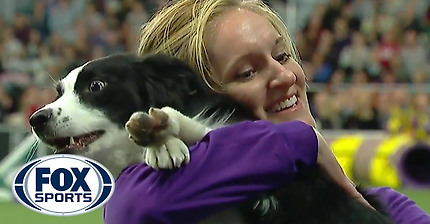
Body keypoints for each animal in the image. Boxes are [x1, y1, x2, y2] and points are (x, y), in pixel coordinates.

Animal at [29, 53, 394, 223]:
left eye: (96, 86)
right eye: (59, 92)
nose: (36, 119)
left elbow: (213, 130)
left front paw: (163, 133)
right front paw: (162, 138)